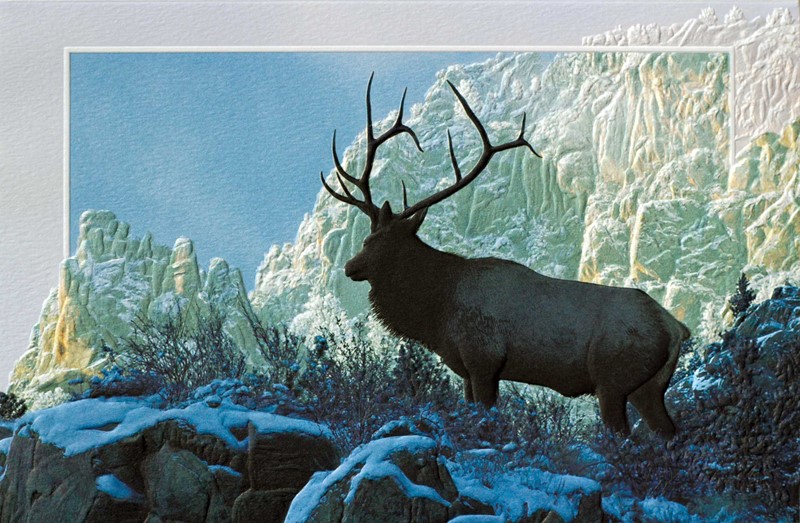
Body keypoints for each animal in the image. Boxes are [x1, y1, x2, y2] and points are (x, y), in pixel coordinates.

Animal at [320, 74, 691, 438]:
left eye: (373, 241)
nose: (349, 267)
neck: (439, 310)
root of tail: (675, 328)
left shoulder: (484, 360)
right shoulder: (467, 370)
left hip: (612, 380)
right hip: (648, 388)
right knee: (669, 433)